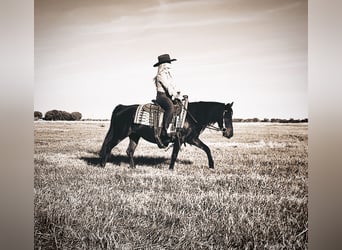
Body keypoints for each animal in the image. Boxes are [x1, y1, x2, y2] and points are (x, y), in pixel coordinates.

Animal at [97, 101, 234, 170]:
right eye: (226, 115)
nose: (230, 134)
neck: (190, 116)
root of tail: (122, 107)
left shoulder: (192, 139)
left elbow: (207, 149)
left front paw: (211, 166)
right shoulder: (179, 139)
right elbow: (174, 154)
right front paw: (171, 169)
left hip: (134, 136)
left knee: (129, 151)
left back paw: (133, 167)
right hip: (120, 134)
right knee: (109, 146)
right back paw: (103, 165)